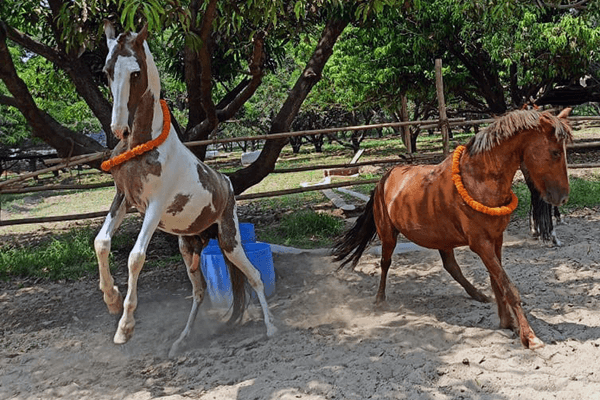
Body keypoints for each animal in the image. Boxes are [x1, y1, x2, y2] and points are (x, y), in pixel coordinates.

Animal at [95, 21, 276, 356]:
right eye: (107, 71)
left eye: (136, 73)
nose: (118, 129)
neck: (142, 145)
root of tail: (227, 183)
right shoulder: (124, 199)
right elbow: (101, 242)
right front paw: (111, 299)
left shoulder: (154, 207)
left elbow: (135, 257)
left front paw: (125, 327)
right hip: (188, 247)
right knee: (199, 291)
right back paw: (181, 341)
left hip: (230, 240)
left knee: (255, 277)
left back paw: (271, 328)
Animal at [332, 108, 572, 348]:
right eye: (555, 153)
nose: (562, 197)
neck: (478, 180)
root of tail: (384, 178)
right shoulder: (481, 243)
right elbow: (507, 286)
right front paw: (529, 336)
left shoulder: (496, 239)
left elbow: (497, 283)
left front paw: (507, 323)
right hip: (388, 234)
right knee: (385, 263)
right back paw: (380, 299)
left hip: (441, 238)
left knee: (451, 266)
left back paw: (477, 295)